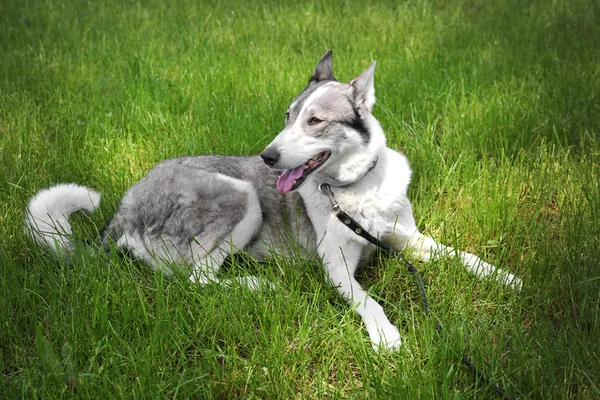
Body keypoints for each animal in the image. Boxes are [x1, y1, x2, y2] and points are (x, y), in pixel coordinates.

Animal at [24, 50, 520, 350]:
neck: (354, 188)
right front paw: (384, 334)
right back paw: (257, 286)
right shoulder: (337, 266)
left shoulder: (408, 239)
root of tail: (123, 210)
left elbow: (462, 255)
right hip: (239, 196)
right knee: (196, 278)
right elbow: (369, 300)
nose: (268, 156)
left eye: (315, 121)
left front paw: (507, 278)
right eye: (287, 116)